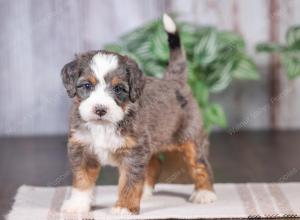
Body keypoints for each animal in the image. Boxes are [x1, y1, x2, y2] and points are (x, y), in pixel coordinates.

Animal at [59, 14, 217, 216]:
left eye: (119, 89)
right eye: (87, 85)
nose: (100, 109)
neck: (104, 125)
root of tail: (174, 81)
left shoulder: (133, 153)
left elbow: (129, 181)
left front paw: (124, 207)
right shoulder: (82, 148)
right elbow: (82, 180)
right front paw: (77, 205)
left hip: (191, 139)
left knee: (201, 165)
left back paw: (205, 193)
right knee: (154, 164)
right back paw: (146, 192)